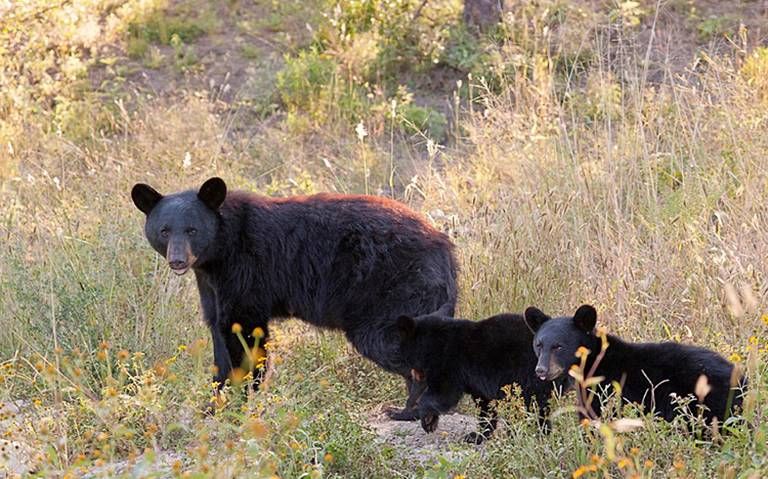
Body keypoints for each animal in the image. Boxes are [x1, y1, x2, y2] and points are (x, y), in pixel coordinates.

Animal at [131, 177, 458, 417]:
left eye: (192, 230)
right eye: (164, 230)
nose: (178, 260)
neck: (219, 253)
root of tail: (445, 246)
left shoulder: (246, 274)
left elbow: (244, 335)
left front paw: (240, 402)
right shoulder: (211, 286)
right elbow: (219, 339)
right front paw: (213, 405)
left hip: (395, 292)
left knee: (394, 342)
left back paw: (408, 412)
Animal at [395, 312, 558, 444]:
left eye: (416, 374)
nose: (409, 403)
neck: (432, 345)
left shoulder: (450, 362)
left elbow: (444, 393)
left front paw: (428, 421)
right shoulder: (478, 383)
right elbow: (485, 406)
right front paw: (477, 435)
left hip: (529, 374)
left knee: (530, 405)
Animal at [524, 304, 746, 424]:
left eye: (558, 346)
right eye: (539, 344)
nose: (541, 370)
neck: (594, 362)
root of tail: (741, 377)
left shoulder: (605, 389)